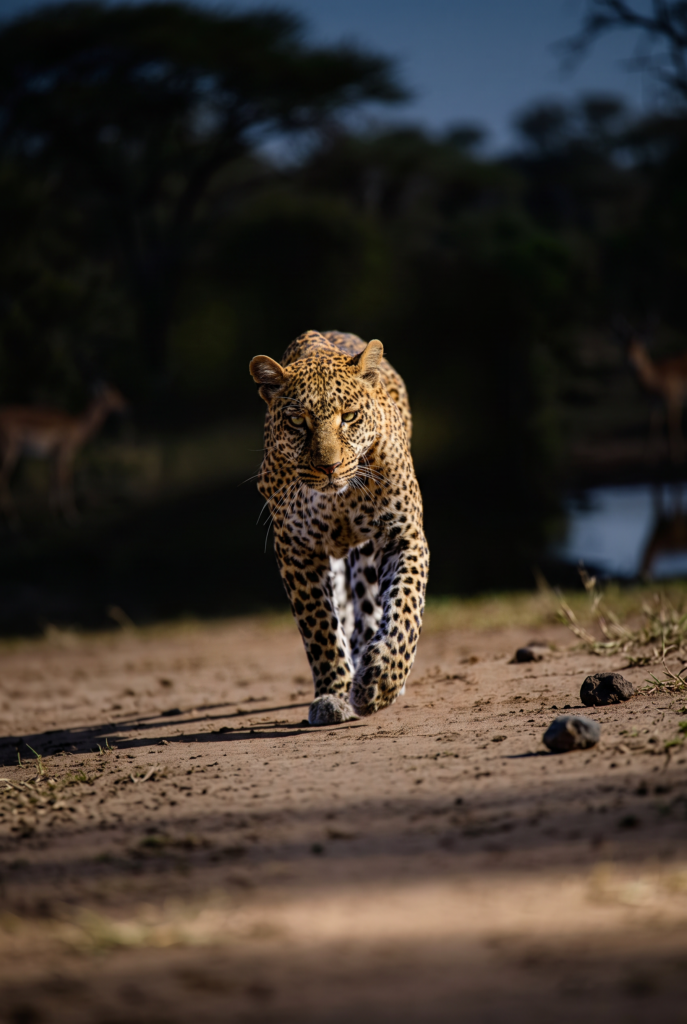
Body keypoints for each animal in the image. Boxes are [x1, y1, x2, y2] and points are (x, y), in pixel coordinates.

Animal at [249, 330, 429, 726]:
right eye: (298, 422)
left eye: (348, 417)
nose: (329, 467)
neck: (339, 499)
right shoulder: (296, 549)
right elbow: (320, 625)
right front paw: (333, 693)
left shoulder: (403, 536)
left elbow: (405, 609)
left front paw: (381, 680)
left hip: (367, 554)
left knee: (371, 606)